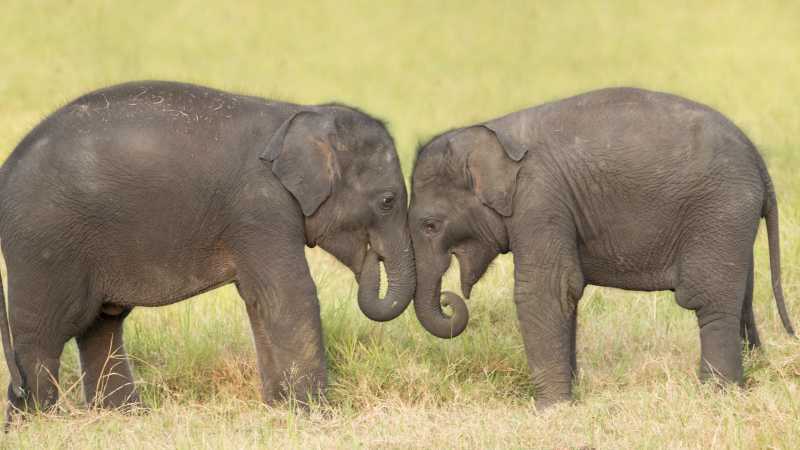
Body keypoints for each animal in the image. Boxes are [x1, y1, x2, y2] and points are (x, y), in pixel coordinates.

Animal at [0, 81, 413, 423]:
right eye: (388, 201)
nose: (371, 258)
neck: (300, 114)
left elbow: (259, 300)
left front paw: (279, 409)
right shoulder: (260, 208)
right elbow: (288, 295)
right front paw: (317, 416)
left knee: (101, 325)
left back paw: (124, 417)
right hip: (43, 244)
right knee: (44, 335)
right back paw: (38, 422)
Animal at [408, 87, 795, 408]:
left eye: (430, 226)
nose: (449, 300)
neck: (493, 133)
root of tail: (760, 163)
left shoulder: (540, 201)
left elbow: (546, 289)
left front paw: (551, 410)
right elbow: (566, 293)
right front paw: (569, 397)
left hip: (720, 211)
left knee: (709, 301)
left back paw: (716, 395)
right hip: (732, 224)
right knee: (742, 296)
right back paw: (751, 375)